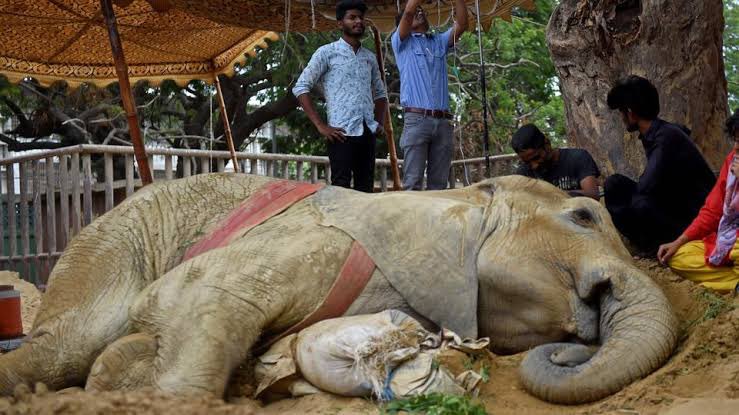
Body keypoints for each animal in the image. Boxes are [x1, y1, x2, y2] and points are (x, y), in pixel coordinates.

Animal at [0, 174, 680, 404]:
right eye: (584, 215)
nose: (570, 348)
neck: (455, 194)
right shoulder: (320, 242)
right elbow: (208, 290)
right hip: (111, 241)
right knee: (64, 344)